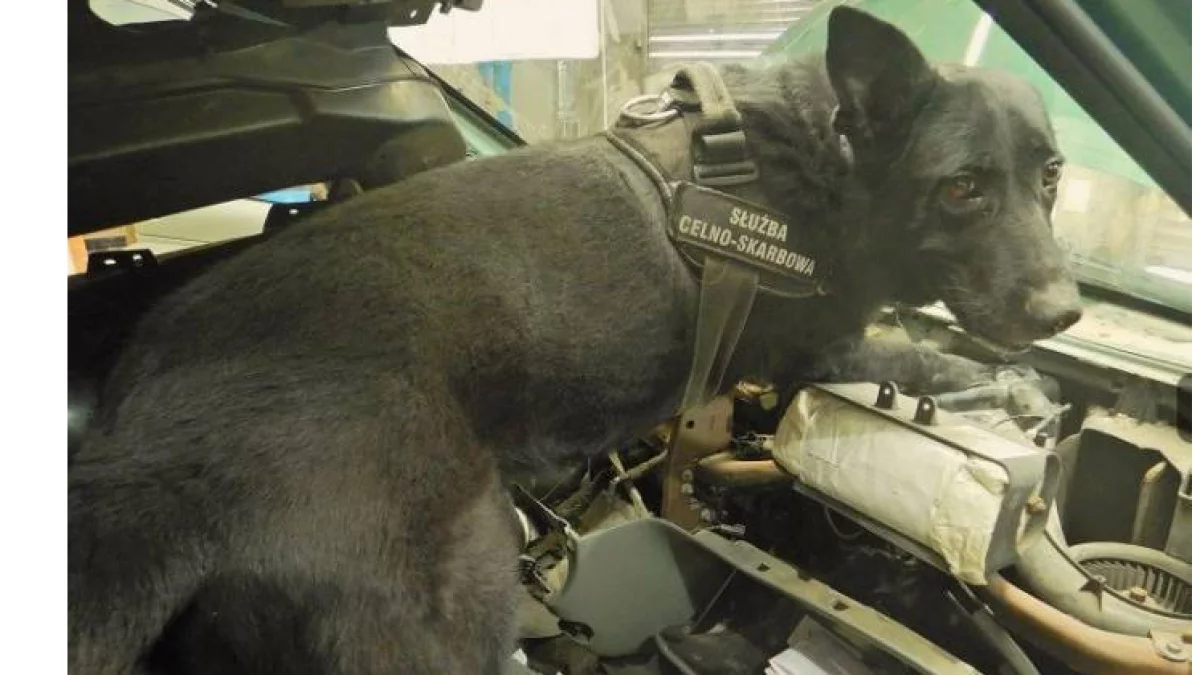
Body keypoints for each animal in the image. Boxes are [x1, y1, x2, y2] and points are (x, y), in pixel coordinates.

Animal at [69, 6, 1081, 674]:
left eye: (1052, 177)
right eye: (962, 188)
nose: (1067, 311)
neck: (830, 158)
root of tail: (158, 451)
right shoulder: (812, 353)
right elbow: (918, 353)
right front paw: (1015, 386)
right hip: (453, 592)